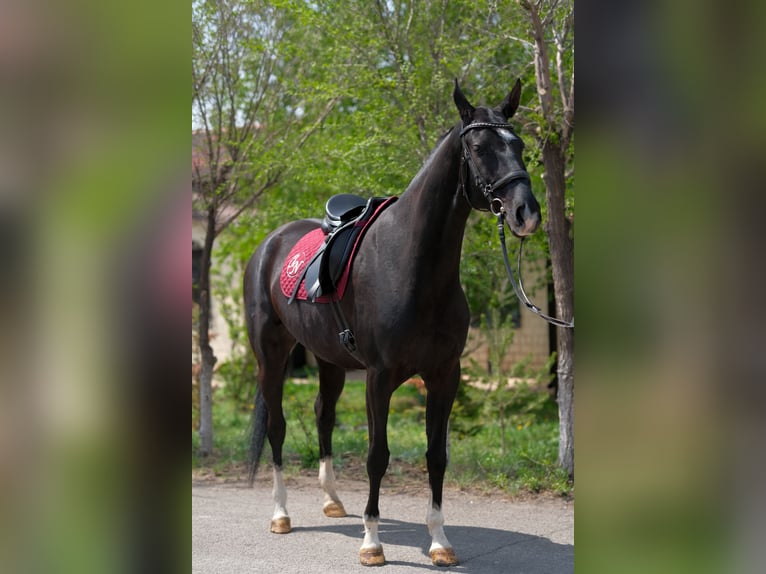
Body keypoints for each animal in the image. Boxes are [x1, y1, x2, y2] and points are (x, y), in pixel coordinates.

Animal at [244, 79, 540, 568]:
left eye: (519, 146)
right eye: (479, 148)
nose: (526, 213)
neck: (413, 266)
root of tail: (270, 243)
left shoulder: (444, 375)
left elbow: (436, 455)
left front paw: (440, 542)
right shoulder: (379, 378)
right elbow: (376, 456)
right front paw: (372, 543)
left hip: (329, 360)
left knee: (323, 415)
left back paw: (332, 501)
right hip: (271, 355)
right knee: (278, 427)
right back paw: (281, 514)